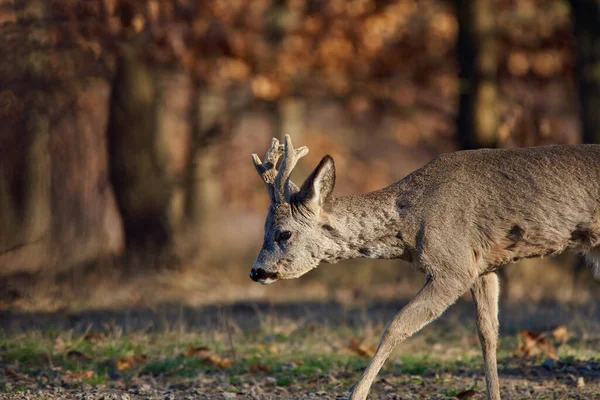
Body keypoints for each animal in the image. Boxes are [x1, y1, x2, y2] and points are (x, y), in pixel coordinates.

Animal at [248, 135, 600, 400]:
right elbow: (488, 333)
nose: (256, 271)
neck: (411, 222)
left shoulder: (453, 266)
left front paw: (355, 394)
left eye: (283, 233)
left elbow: (396, 326)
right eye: (264, 230)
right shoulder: (482, 267)